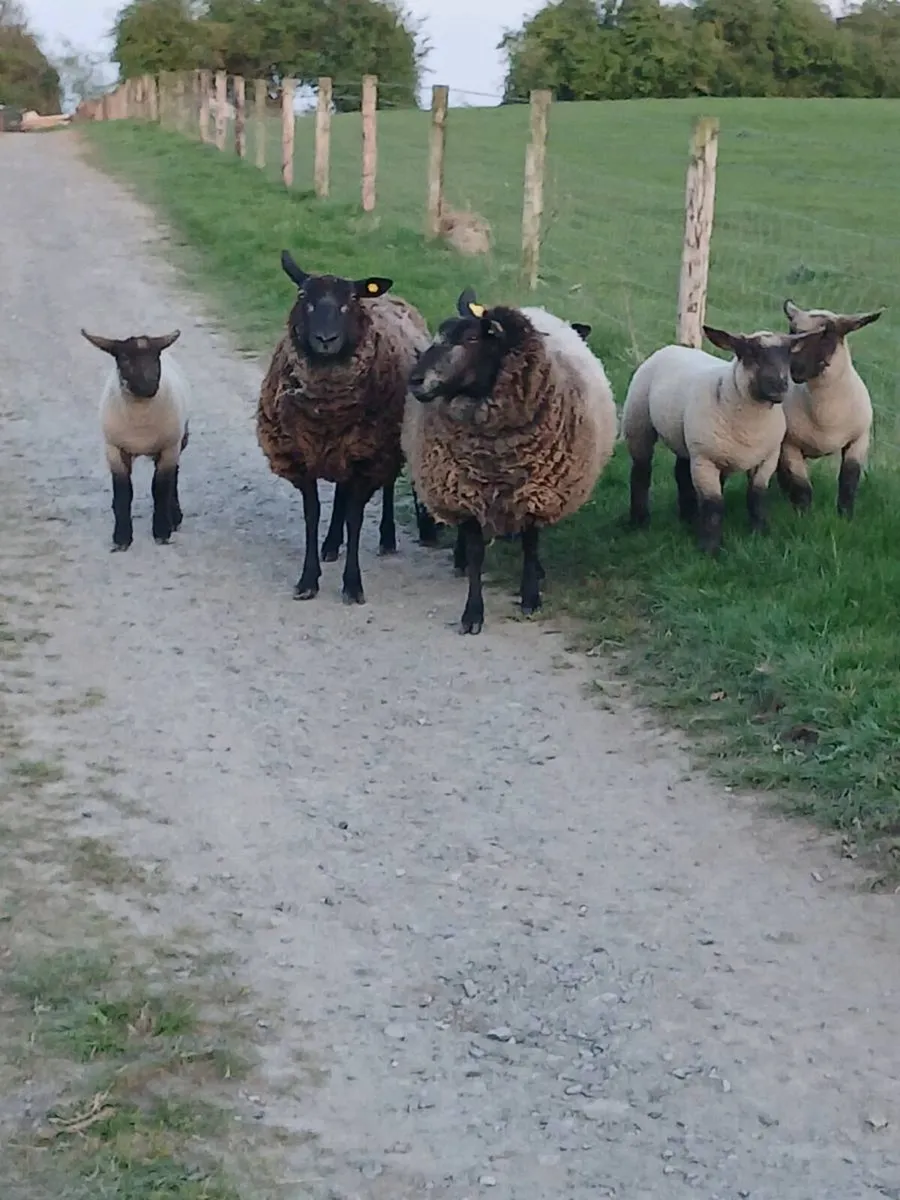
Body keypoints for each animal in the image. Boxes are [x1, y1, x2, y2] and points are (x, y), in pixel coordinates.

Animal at [81, 328, 189, 551]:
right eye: (124, 359)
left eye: (156, 357)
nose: (150, 385)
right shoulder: (114, 449)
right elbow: (123, 492)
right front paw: (121, 538)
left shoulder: (168, 448)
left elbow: (160, 488)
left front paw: (162, 531)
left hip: (179, 441)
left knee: (173, 477)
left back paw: (175, 516)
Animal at [256, 251, 432, 604]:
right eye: (303, 297)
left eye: (350, 301)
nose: (326, 340)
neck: (327, 412)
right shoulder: (301, 457)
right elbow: (313, 514)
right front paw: (308, 579)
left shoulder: (367, 458)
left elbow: (355, 517)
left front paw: (353, 585)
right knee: (340, 491)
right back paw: (330, 545)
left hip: (381, 447)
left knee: (385, 486)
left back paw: (386, 538)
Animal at [404, 289, 617, 635]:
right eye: (440, 333)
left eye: (472, 337)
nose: (415, 380)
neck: (496, 453)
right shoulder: (464, 491)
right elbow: (476, 552)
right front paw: (472, 613)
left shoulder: (535, 492)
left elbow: (530, 544)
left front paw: (530, 596)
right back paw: (460, 560)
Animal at [621, 323, 823, 555]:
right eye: (750, 352)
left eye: (788, 354)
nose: (779, 387)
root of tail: (674, 347)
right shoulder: (706, 460)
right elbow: (713, 505)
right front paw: (710, 548)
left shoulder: (767, 459)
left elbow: (757, 496)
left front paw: (760, 532)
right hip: (639, 423)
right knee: (641, 472)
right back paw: (640, 521)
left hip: (688, 440)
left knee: (681, 473)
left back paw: (688, 517)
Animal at [777, 299, 884, 518]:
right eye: (792, 330)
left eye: (827, 333)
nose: (794, 369)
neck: (826, 416)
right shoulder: (789, 445)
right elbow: (802, 487)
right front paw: (804, 517)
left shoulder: (858, 440)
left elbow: (848, 482)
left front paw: (845, 517)